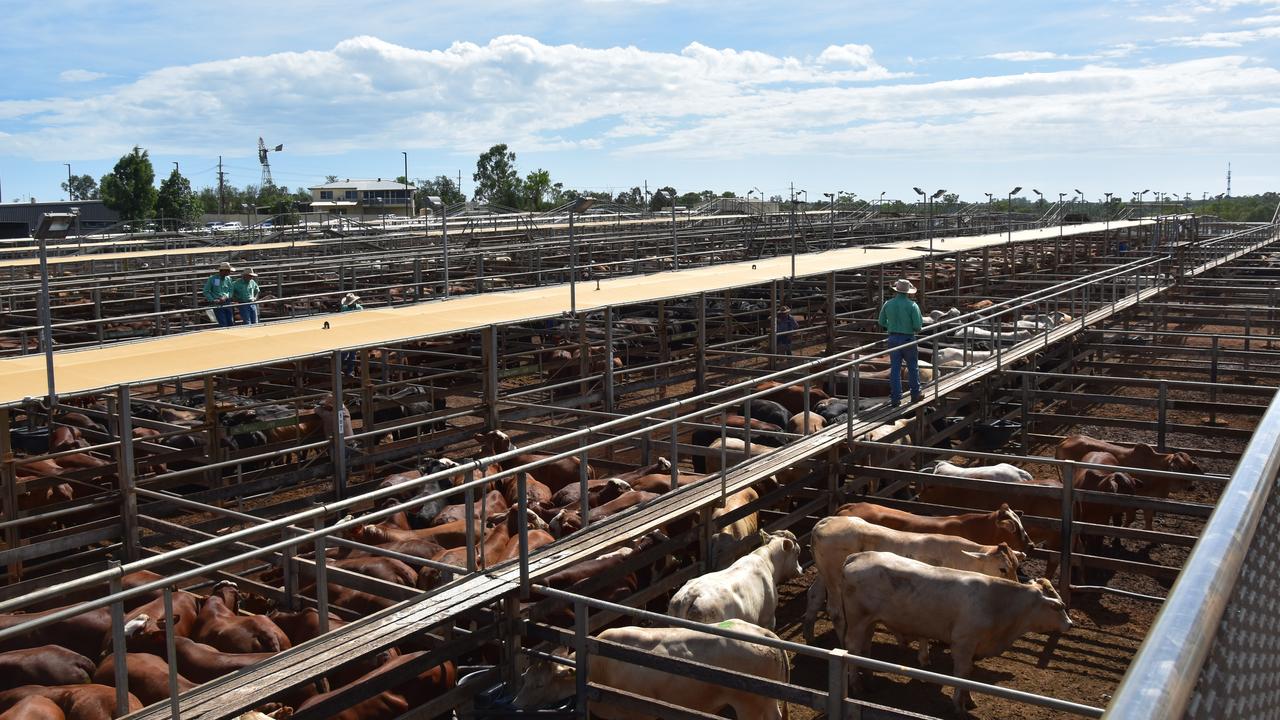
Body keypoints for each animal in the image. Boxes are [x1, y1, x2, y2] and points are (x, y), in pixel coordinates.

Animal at [803, 515, 1024, 638]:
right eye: (1003, 569)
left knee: (813, 596)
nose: (1015, 586)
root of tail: (824, 523)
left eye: (1016, 566)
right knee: (835, 611)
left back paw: (809, 635)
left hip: (823, 574)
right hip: (833, 580)